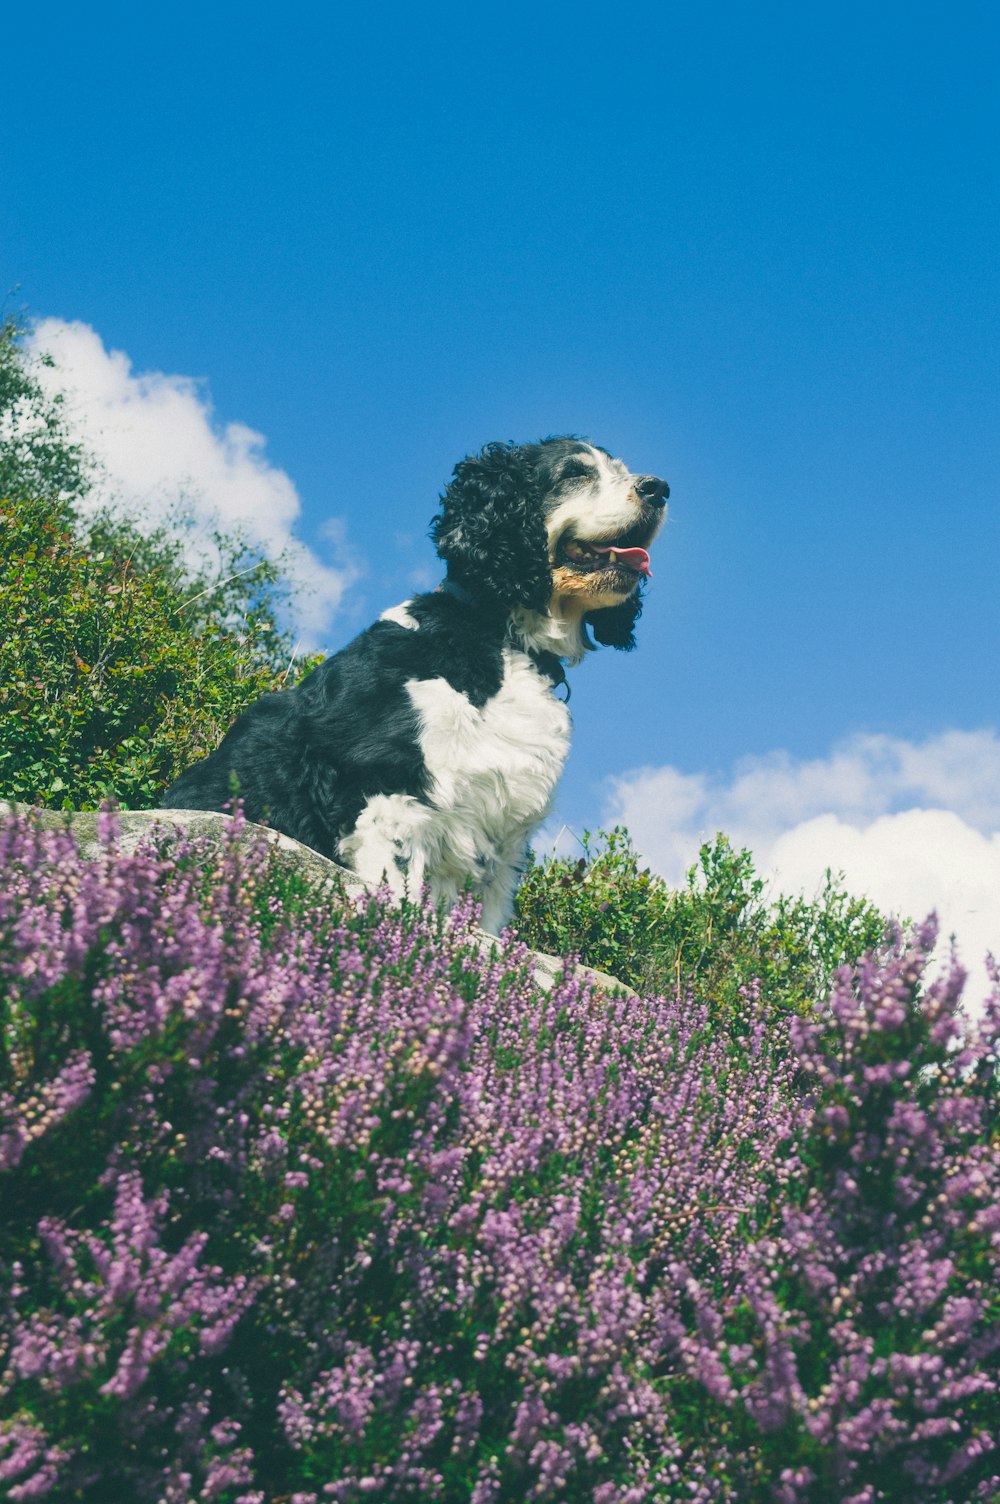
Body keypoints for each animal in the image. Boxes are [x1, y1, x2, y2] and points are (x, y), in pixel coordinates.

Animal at [160, 436, 667, 926]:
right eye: (574, 473)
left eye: (620, 469)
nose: (659, 488)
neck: (500, 637)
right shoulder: (389, 795)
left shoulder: (503, 839)